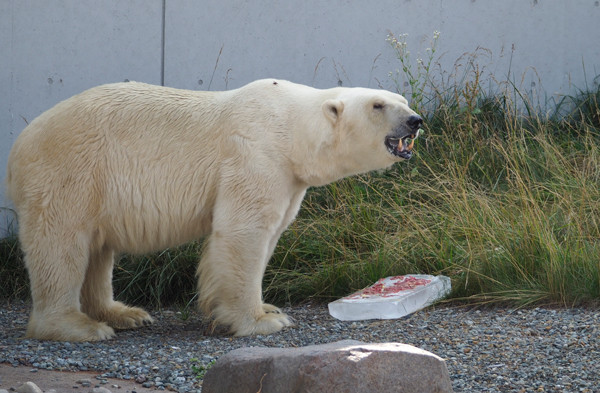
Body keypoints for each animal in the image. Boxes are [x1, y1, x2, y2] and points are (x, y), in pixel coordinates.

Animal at [7, 79, 424, 340]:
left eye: (402, 100)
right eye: (378, 104)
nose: (415, 120)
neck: (292, 128)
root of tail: (19, 145)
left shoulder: (289, 179)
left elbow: (272, 232)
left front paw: (269, 308)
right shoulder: (256, 153)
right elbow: (243, 231)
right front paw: (261, 321)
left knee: (97, 249)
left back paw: (123, 313)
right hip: (72, 169)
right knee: (61, 244)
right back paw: (80, 327)